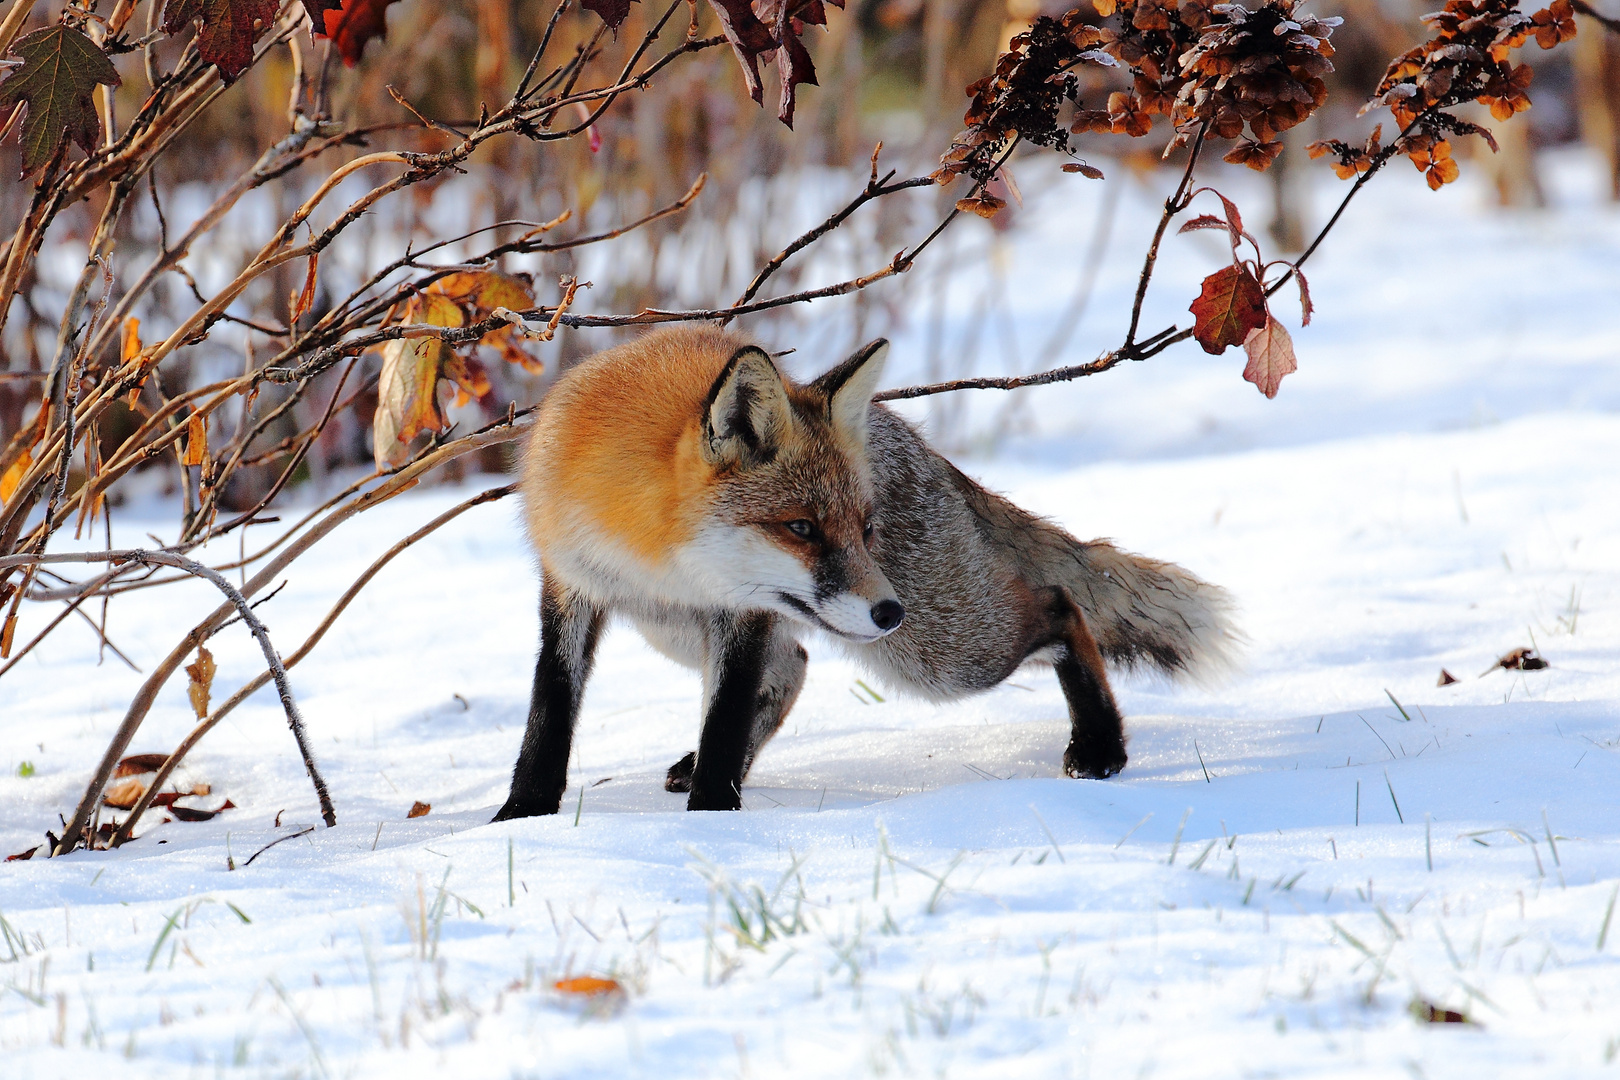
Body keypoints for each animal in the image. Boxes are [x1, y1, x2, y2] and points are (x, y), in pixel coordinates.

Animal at [492, 323, 1237, 819]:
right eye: (801, 528)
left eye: (865, 530)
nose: (890, 610)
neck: (648, 539)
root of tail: (911, 438)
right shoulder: (572, 586)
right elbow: (549, 715)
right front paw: (522, 818)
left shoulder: (741, 612)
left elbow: (726, 715)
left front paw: (712, 822)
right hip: (674, 630)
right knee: (793, 665)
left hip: (945, 655)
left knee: (1060, 604)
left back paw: (1101, 745)